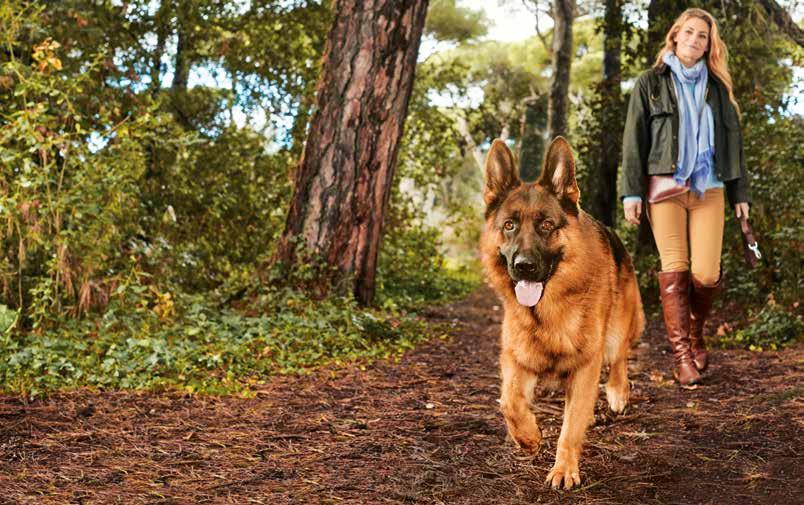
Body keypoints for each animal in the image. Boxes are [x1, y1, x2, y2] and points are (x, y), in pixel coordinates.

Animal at [480, 136, 644, 486]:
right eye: (509, 225)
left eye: (546, 225)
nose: (524, 266)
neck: (547, 313)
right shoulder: (516, 358)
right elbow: (509, 402)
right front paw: (528, 437)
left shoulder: (586, 365)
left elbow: (569, 428)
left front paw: (564, 468)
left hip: (616, 331)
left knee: (620, 356)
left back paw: (617, 392)